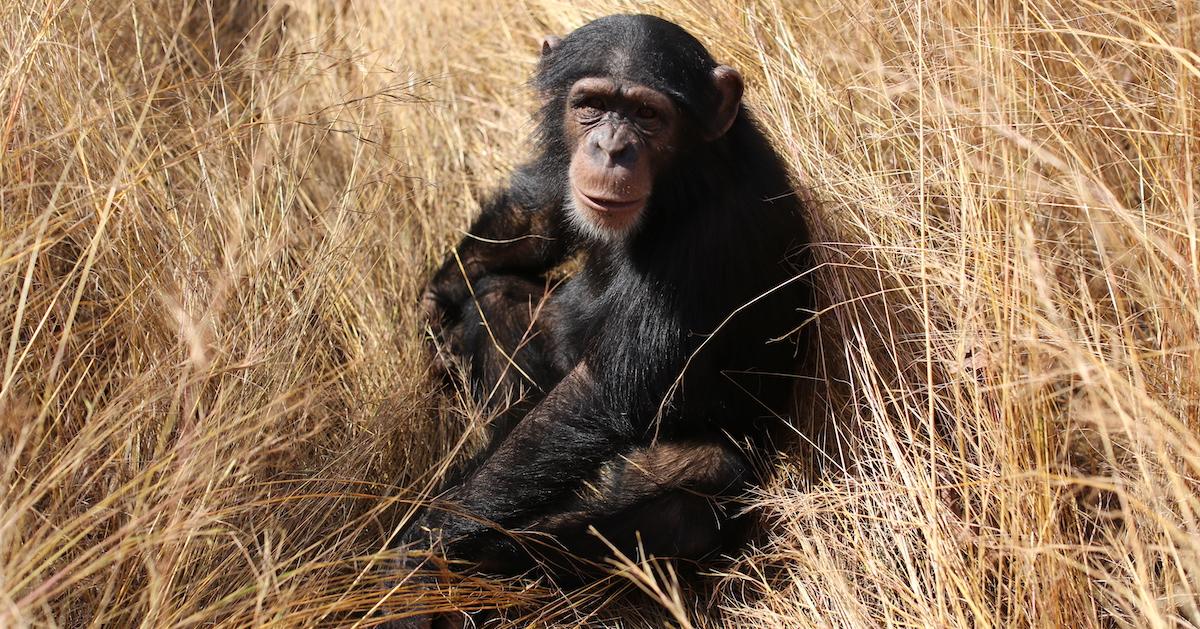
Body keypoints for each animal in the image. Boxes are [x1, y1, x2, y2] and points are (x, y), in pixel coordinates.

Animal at [408, 12, 811, 578]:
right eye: (591, 106)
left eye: (646, 114)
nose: (613, 148)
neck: (682, 181)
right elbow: (541, 217)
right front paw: (436, 303)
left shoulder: (715, 237)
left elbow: (599, 393)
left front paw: (429, 535)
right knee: (497, 299)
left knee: (700, 475)